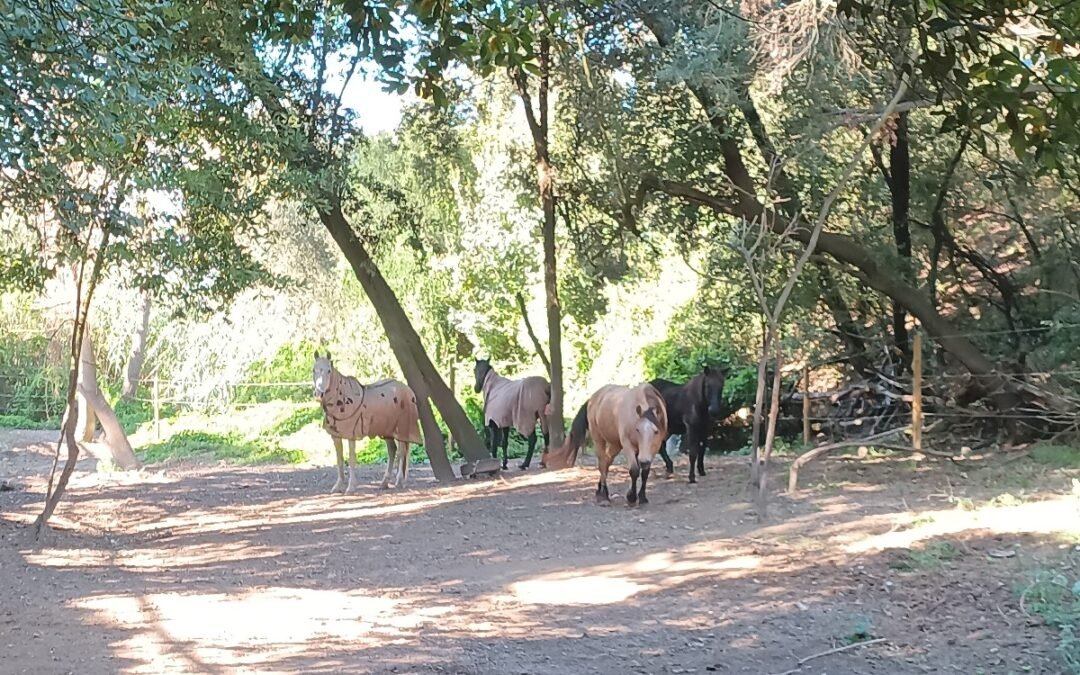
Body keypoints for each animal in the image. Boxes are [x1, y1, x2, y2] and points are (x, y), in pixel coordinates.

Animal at [312, 351, 421, 494]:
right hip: (388, 432)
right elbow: (339, 459)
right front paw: (337, 486)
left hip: (402, 430)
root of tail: (409, 391)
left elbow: (352, 459)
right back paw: (384, 483)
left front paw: (351, 487)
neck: (342, 399)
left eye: (329, 371)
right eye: (313, 370)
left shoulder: (351, 435)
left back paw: (400, 482)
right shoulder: (336, 436)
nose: (319, 394)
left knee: (403, 452)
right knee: (393, 450)